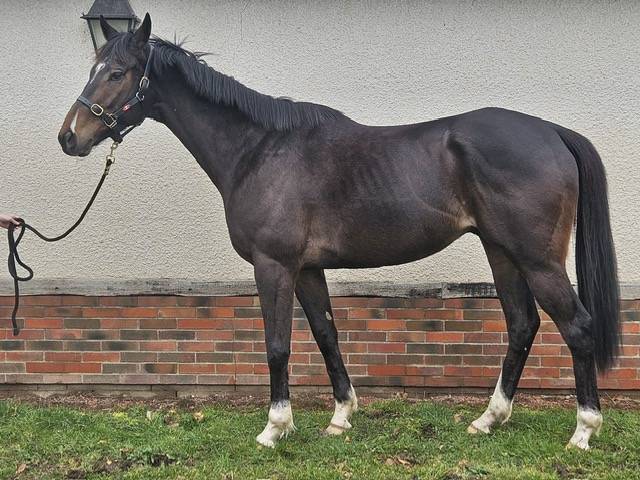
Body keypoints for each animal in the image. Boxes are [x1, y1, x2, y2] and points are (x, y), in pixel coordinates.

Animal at [58, 14, 619, 450]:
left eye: (117, 72)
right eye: (91, 68)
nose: (69, 137)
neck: (260, 149)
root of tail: (551, 132)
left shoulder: (274, 265)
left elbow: (278, 344)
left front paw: (274, 428)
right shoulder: (308, 269)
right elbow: (326, 335)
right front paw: (340, 417)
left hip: (537, 259)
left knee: (577, 326)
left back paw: (583, 431)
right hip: (502, 252)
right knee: (522, 325)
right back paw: (488, 419)